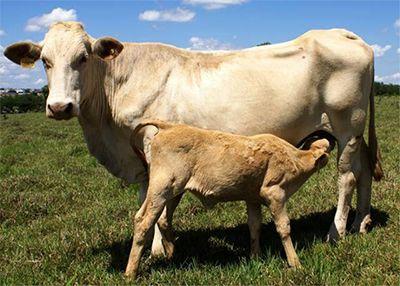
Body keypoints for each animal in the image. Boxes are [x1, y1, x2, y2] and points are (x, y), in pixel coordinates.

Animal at [4, 21, 382, 255]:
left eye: (83, 58)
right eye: (45, 61)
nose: (60, 106)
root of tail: (343, 33)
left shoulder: (153, 145)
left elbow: (156, 199)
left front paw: (158, 249)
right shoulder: (142, 157)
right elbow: (149, 197)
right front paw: (157, 245)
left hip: (347, 123)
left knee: (346, 177)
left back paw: (336, 232)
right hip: (353, 131)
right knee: (363, 170)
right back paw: (361, 222)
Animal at [125, 119, 332, 278]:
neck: (294, 158)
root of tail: (168, 126)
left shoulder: (252, 198)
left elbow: (254, 226)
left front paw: (255, 258)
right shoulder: (275, 193)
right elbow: (283, 228)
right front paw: (295, 263)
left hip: (173, 191)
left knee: (162, 219)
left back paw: (171, 254)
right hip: (161, 188)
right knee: (143, 220)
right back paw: (130, 273)